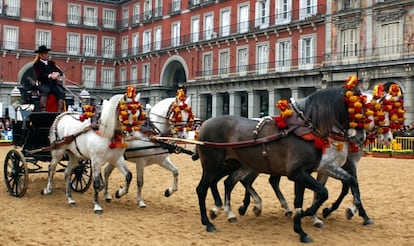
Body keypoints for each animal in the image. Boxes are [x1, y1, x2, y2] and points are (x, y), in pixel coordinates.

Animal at [196, 84, 360, 242]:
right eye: (358, 104)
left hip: (230, 164)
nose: (358, 138)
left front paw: (301, 230)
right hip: (212, 166)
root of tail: (205, 124)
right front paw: (308, 214)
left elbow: (300, 201)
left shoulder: (304, 174)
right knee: (202, 189)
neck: (305, 131)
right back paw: (209, 223)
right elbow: (323, 192)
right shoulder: (298, 173)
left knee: (221, 182)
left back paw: (221, 211)